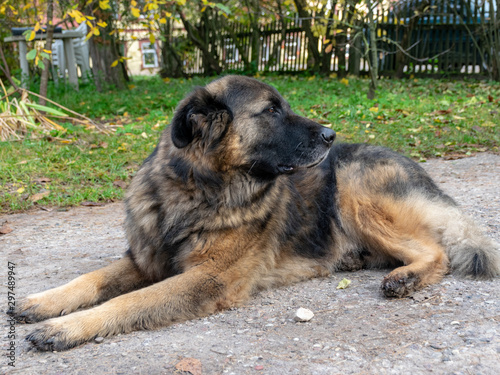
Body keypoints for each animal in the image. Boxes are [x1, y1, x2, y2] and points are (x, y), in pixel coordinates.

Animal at [10, 75, 500, 352]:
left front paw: (64, 328)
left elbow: (130, 301)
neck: (198, 191)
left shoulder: (207, 279)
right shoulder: (147, 260)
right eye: (271, 111)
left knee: (437, 251)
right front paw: (43, 302)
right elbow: (92, 280)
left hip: (353, 191)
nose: (330, 133)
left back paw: (406, 277)